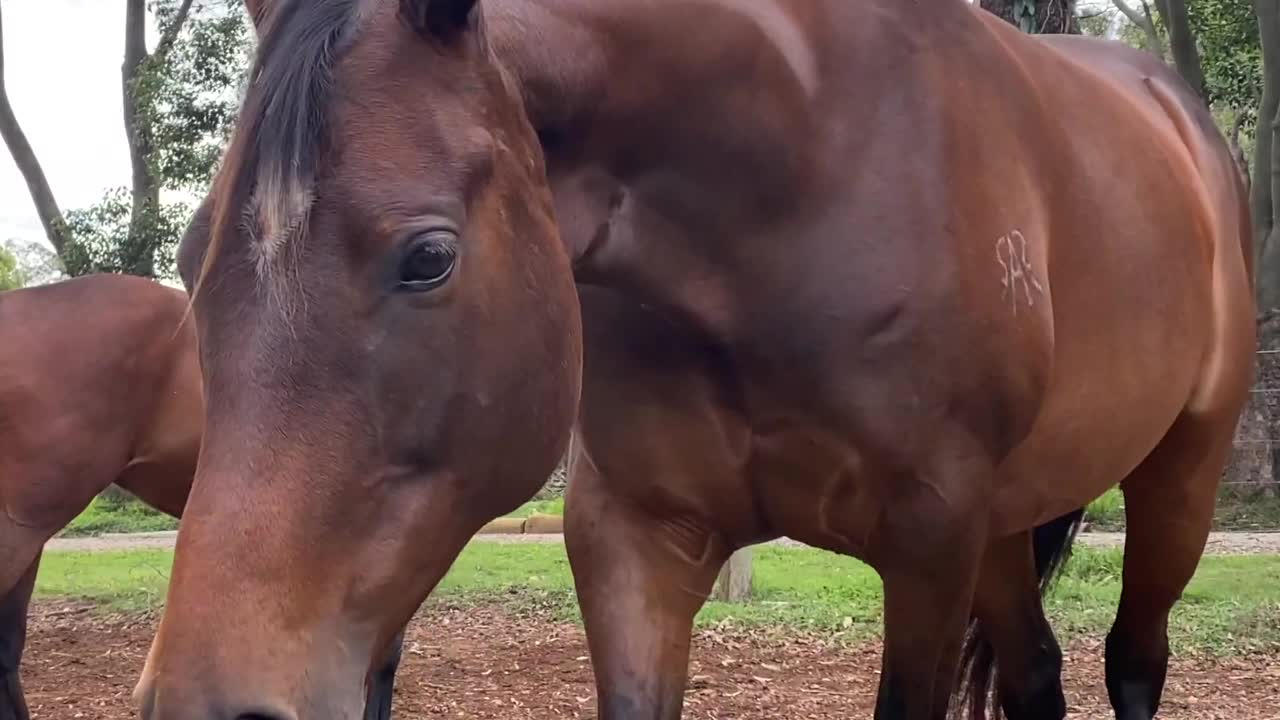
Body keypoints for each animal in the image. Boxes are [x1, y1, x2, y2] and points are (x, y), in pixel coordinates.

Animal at [137, 1, 1249, 717]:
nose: (205, 701)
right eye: (190, 258)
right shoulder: (635, 536)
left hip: (1175, 481)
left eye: (427, 257)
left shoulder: (930, 542)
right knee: (1033, 676)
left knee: (1133, 660)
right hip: (1006, 527)